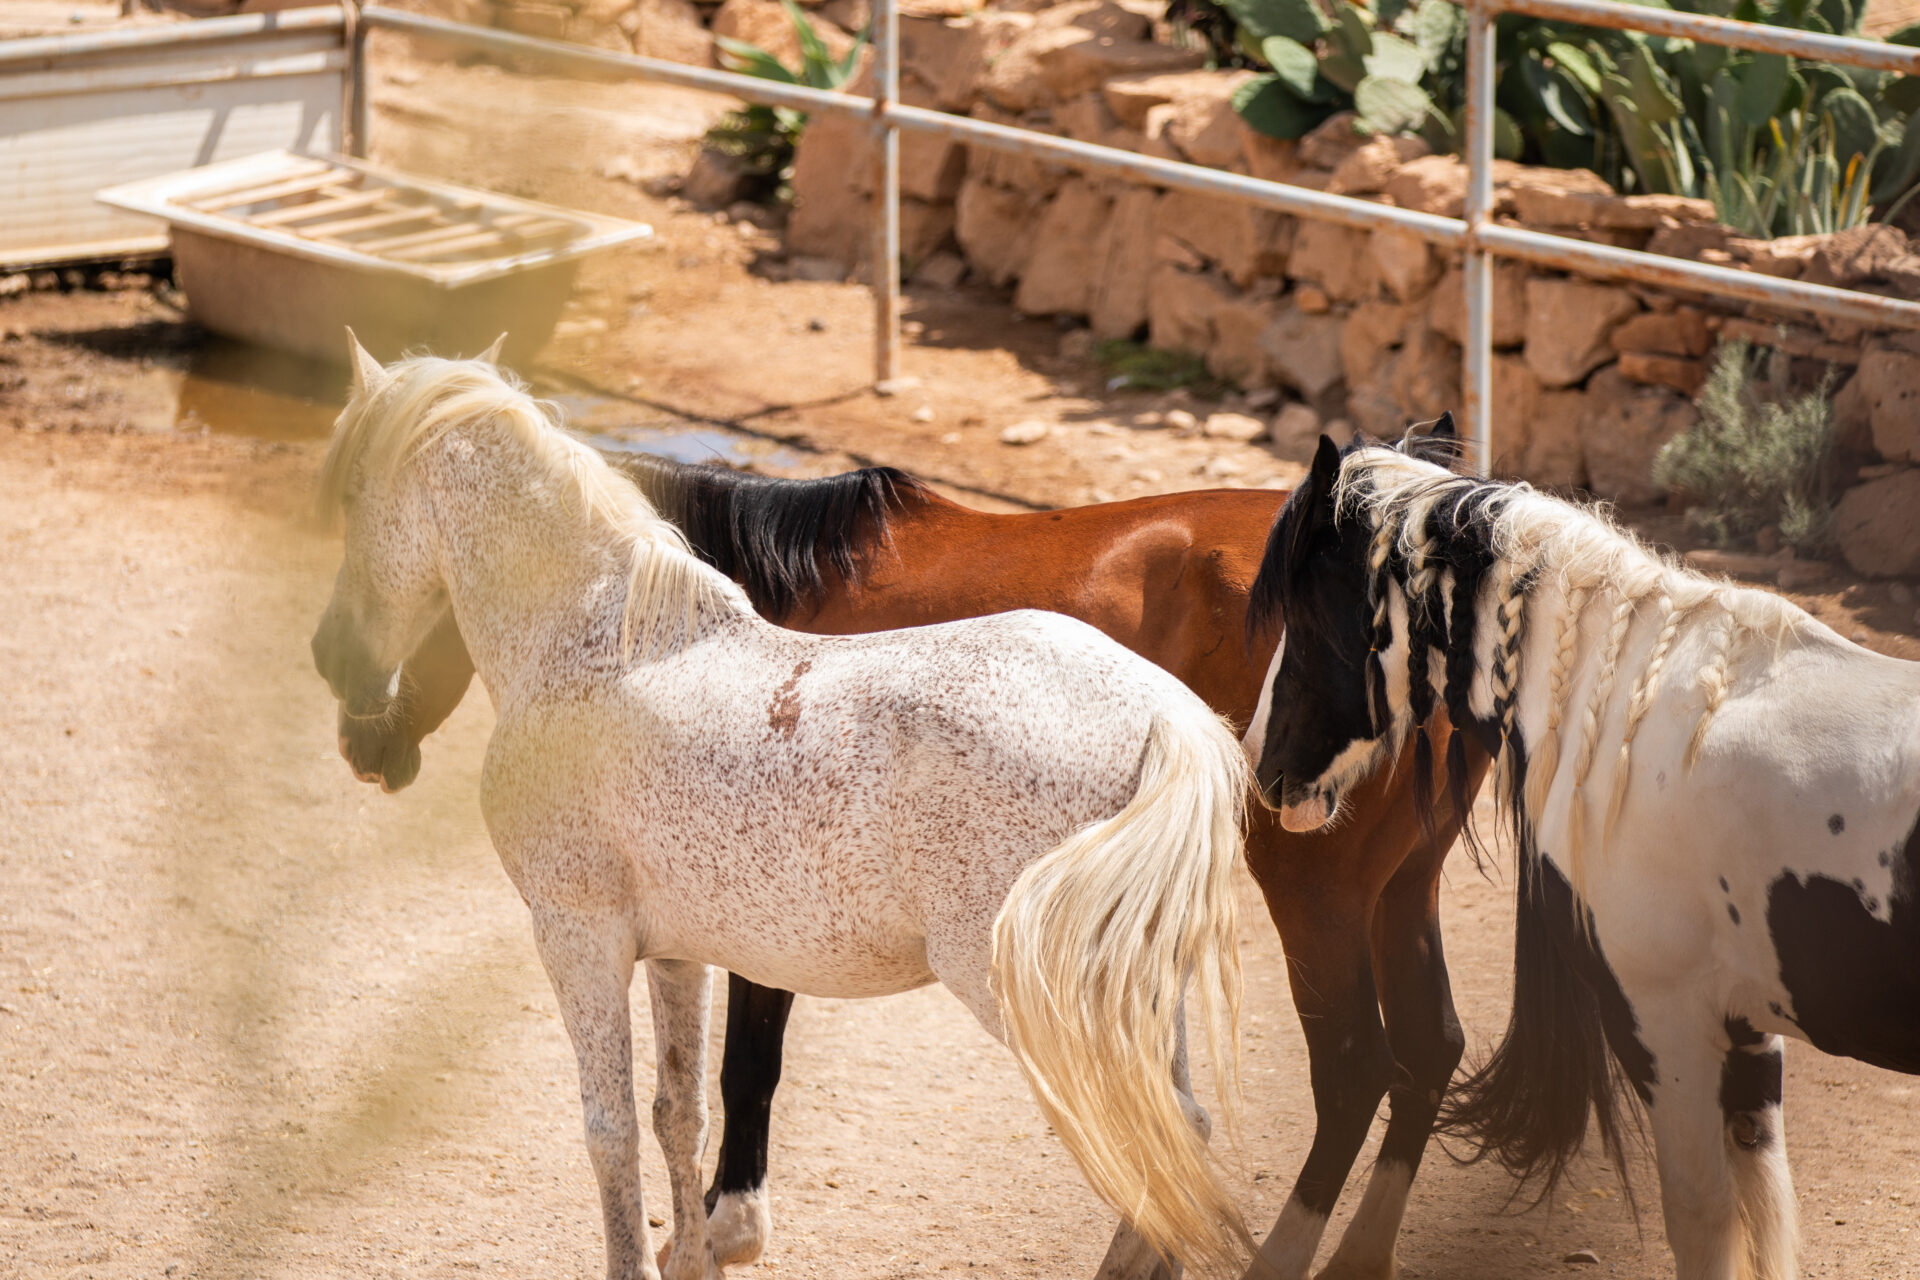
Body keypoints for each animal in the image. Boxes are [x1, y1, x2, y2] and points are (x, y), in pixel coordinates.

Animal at [341, 433, 1492, 1280]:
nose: (363, 740)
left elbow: (747, 1060)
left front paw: (727, 1222)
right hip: (1396, 893)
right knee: (1427, 1045)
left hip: (1311, 900)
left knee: (1351, 1067)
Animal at [1245, 427, 1920, 1280]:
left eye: (1304, 620)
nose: (1260, 760)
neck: (1651, 723)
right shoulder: (1748, 1040)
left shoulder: (1667, 1028)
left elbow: (1702, 1224)